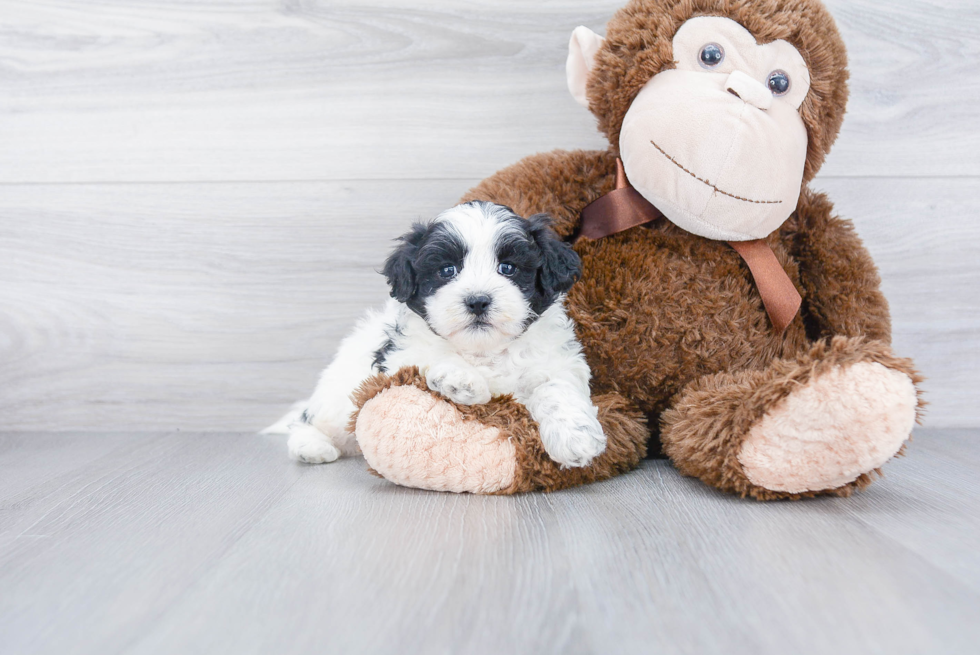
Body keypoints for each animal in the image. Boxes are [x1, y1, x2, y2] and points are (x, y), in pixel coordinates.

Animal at [268, 202, 604, 468]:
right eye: (446, 270)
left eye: (508, 267)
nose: (478, 300)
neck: (483, 350)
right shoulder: (399, 354)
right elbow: (431, 356)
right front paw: (461, 380)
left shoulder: (556, 362)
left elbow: (557, 389)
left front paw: (575, 439)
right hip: (340, 397)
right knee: (308, 420)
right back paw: (311, 446)